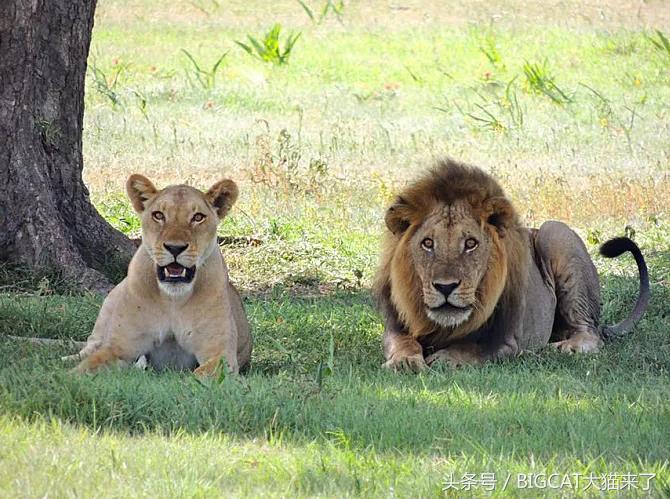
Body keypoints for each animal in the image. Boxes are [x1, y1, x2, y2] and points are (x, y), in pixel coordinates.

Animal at [73, 176, 252, 376]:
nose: (175, 248)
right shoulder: (119, 348)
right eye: (158, 215)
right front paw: (65, 376)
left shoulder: (220, 355)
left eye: (198, 217)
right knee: (88, 347)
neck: (172, 299)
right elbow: (85, 367)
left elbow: (200, 375)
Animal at [376, 160, 648, 372]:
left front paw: (446, 359)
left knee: (590, 334)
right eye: (428, 243)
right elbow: (403, 343)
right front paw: (405, 362)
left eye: (470, 243)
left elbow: (474, 348)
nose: (445, 287)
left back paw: (560, 348)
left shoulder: (509, 340)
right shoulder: (396, 327)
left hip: (555, 232)